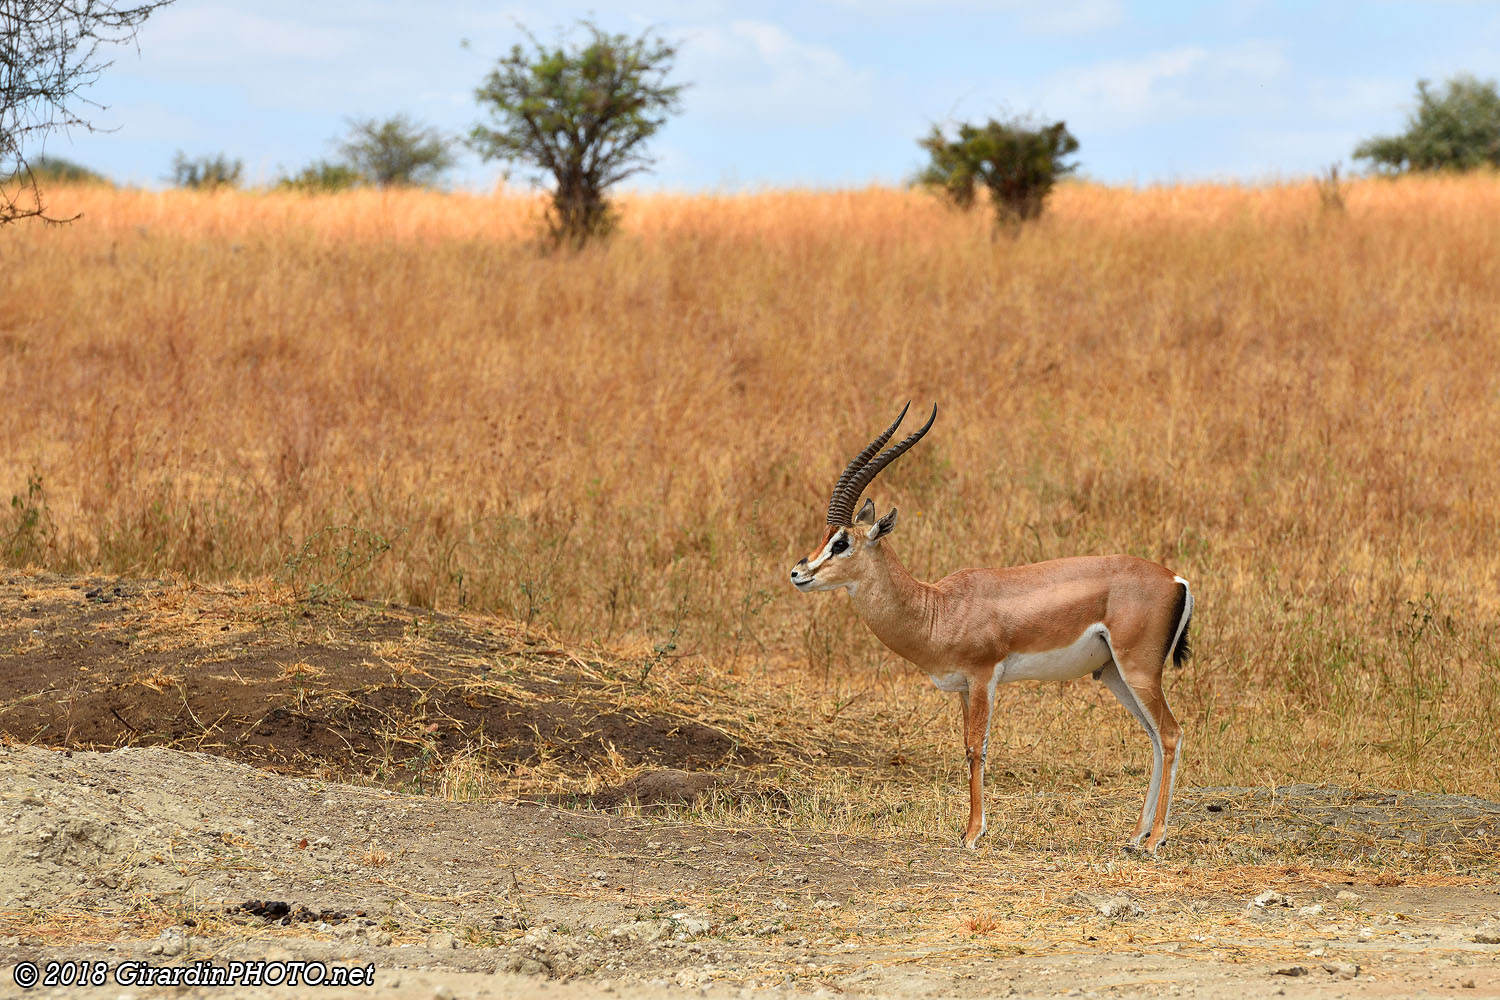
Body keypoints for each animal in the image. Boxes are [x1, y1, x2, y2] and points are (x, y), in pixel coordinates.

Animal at [790, 404, 1193, 852]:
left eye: (841, 543)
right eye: (825, 536)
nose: (798, 573)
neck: (938, 608)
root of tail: (1176, 580)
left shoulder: (984, 677)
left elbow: (975, 747)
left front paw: (972, 833)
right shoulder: (964, 688)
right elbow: (966, 746)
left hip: (1138, 671)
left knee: (1171, 734)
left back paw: (1155, 840)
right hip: (1115, 675)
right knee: (1155, 737)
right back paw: (1135, 835)